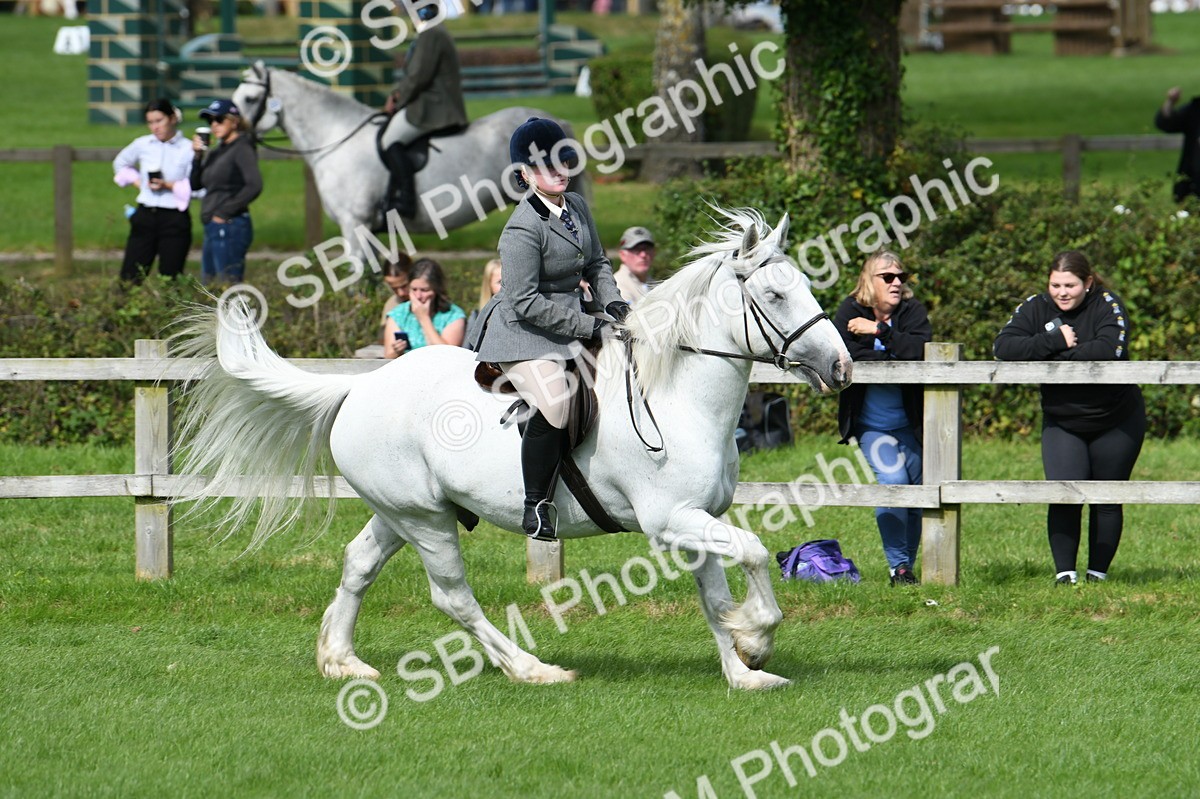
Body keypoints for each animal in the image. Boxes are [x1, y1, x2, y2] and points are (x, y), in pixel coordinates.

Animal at [173, 208, 853, 691]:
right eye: (775, 296)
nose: (842, 366)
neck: (676, 394)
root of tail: (360, 386)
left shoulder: (697, 519)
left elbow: (715, 595)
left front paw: (744, 671)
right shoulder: (672, 519)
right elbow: (756, 551)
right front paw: (757, 638)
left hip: (403, 512)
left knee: (359, 563)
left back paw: (344, 662)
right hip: (426, 520)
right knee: (451, 596)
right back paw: (533, 670)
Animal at [230, 63, 586, 257]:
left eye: (249, 98)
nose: (230, 137)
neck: (336, 136)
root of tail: (554, 120)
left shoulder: (354, 225)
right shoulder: (369, 231)